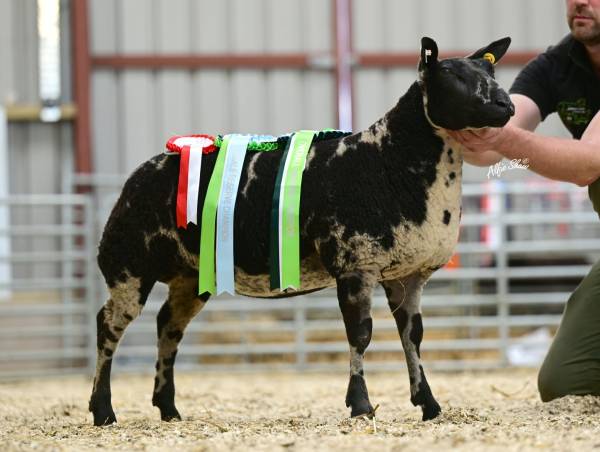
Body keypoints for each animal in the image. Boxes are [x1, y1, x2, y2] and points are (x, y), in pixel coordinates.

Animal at [89, 36, 514, 426]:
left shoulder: (408, 275)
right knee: (108, 326)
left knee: (168, 327)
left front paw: (428, 404)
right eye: (452, 75)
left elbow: (413, 338)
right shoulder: (355, 264)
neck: (390, 161)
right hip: (128, 264)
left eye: (490, 71)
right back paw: (103, 410)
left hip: (190, 276)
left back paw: (169, 409)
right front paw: (361, 405)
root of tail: (135, 178)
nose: (506, 106)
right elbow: (361, 335)